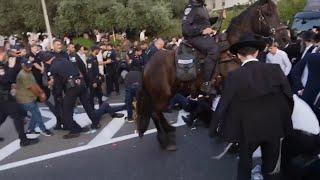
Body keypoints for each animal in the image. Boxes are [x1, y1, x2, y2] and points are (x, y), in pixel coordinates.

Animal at [136, 0, 288, 150]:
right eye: (268, 13)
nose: (285, 38)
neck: (233, 49)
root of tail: (147, 65)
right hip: (161, 95)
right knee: (155, 113)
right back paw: (165, 140)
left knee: (157, 112)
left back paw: (168, 130)